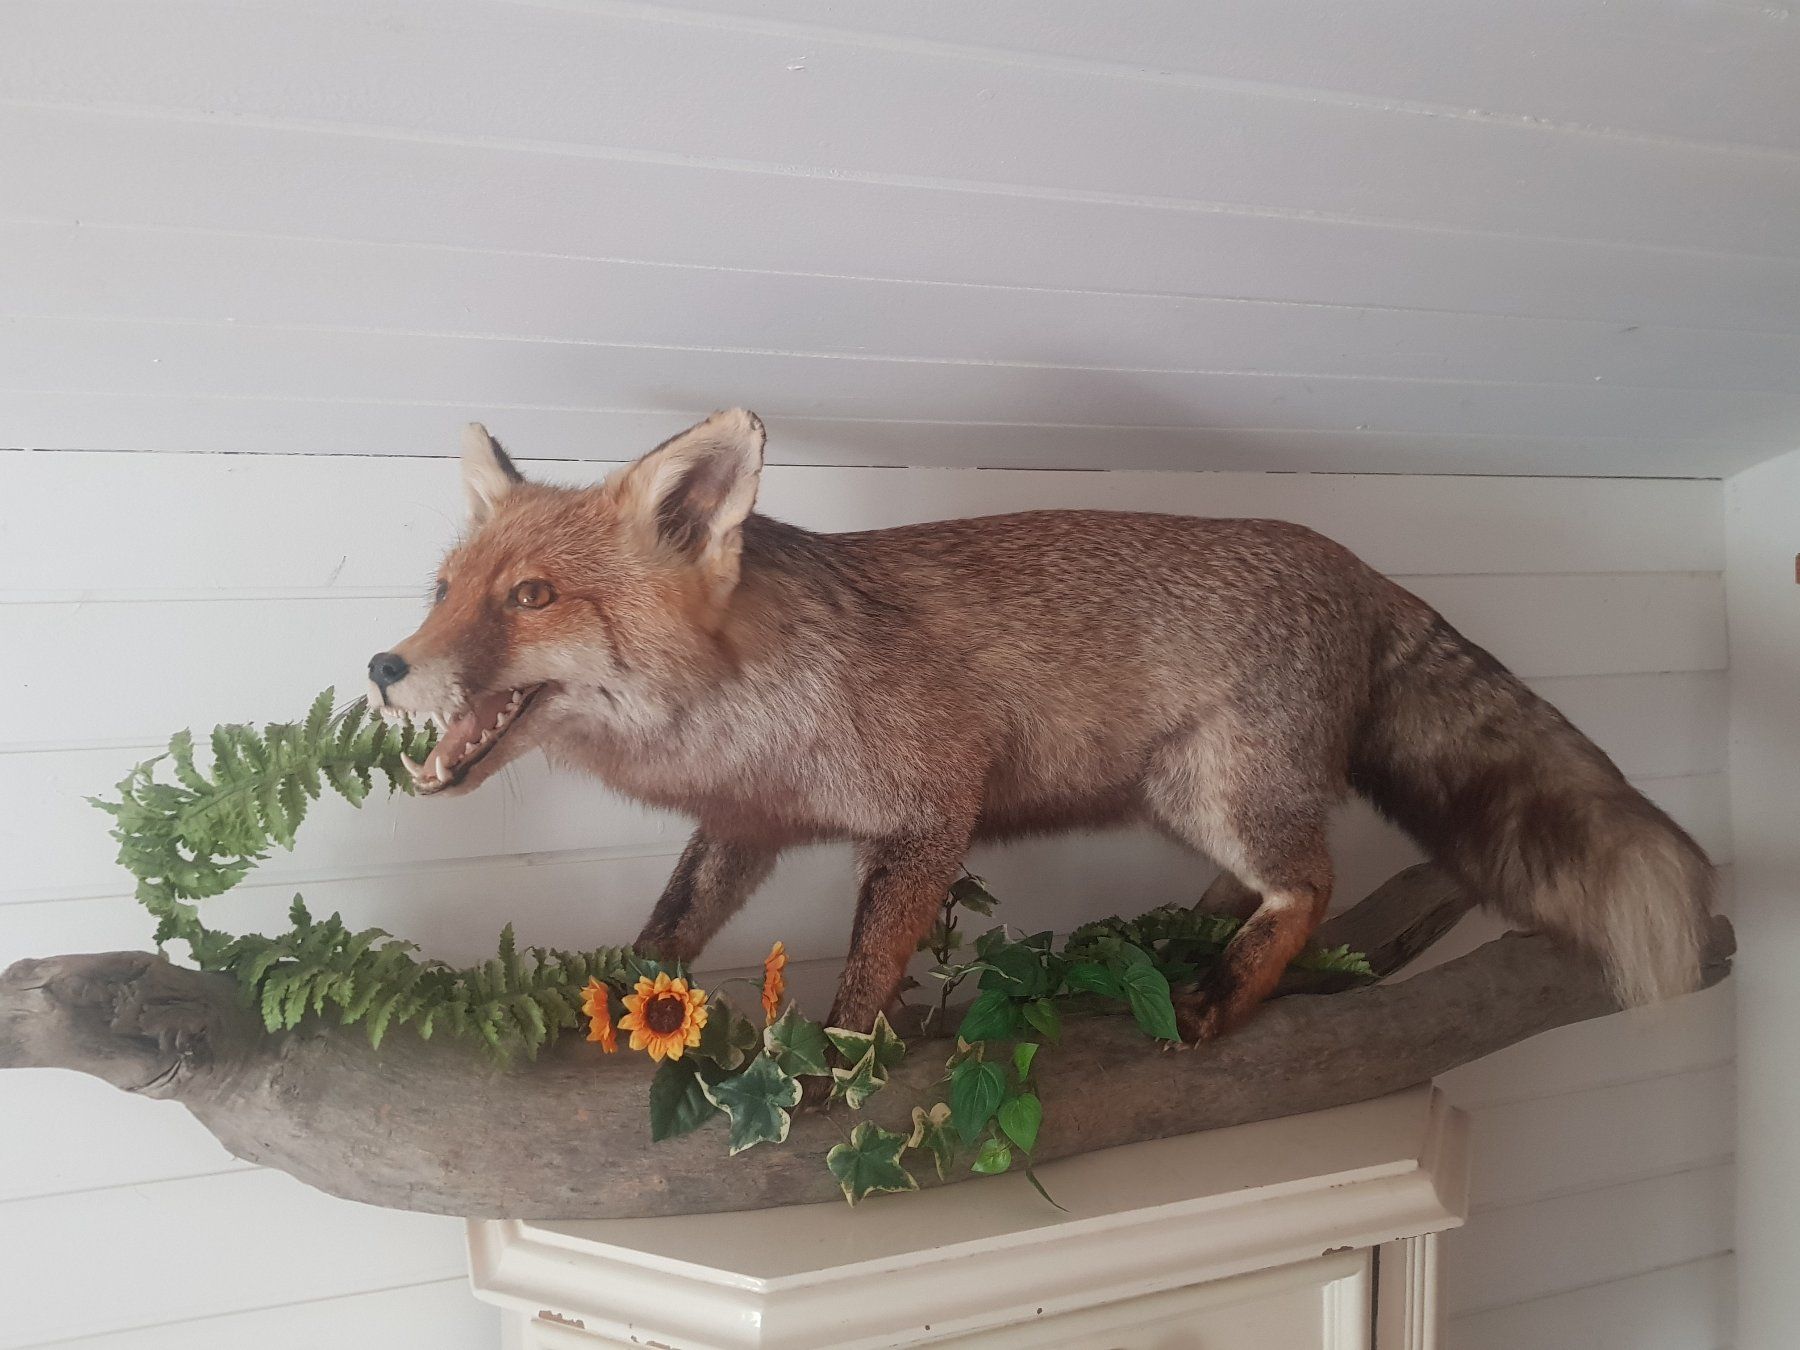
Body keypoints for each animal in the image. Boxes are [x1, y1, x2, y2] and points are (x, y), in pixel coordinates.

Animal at [367, 408, 1715, 1047]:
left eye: (530, 598)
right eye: (443, 591)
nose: (385, 668)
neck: (747, 713)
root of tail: (1357, 564)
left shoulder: (931, 803)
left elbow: (870, 965)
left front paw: (832, 1064)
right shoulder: (746, 827)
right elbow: (669, 930)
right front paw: (614, 1000)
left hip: (1231, 794)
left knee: (1312, 884)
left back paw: (1226, 986)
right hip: (1187, 800)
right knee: (1267, 880)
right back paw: (1183, 934)